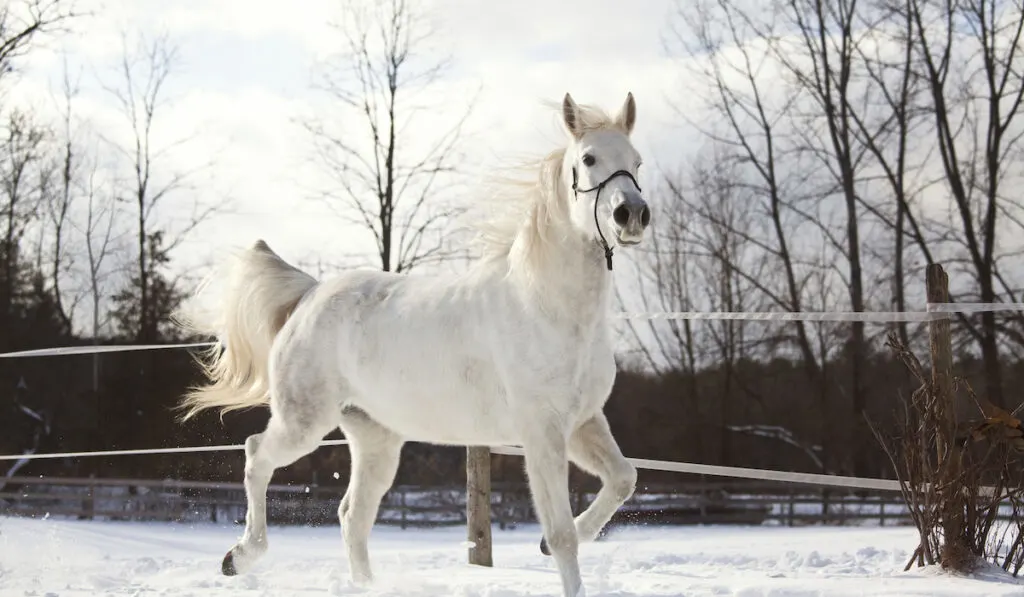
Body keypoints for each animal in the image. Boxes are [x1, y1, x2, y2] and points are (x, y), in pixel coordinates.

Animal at [175, 92, 651, 597]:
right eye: (589, 158)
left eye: (637, 161)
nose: (632, 215)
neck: (546, 306)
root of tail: (309, 294)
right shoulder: (541, 433)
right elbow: (562, 535)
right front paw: (553, 545)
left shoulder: (582, 423)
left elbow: (624, 478)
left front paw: (547, 542)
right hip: (303, 423)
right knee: (256, 455)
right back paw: (238, 557)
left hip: (376, 439)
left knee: (351, 515)